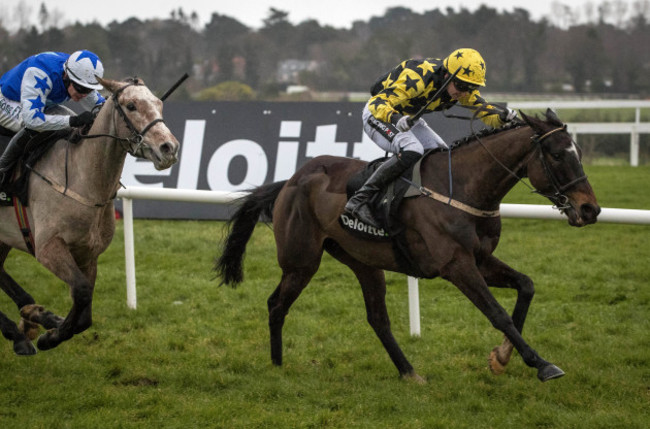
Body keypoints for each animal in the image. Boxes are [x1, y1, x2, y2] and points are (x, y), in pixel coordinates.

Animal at [0, 77, 178, 354]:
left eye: (159, 103)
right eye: (131, 105)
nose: (169, 147)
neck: (81, 179)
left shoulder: (88, 254)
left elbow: (84, 314)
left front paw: (49, 324)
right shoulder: (48, 248)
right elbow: (82, 291)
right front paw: (50, 335)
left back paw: (29, 317)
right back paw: (21, 330)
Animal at [215, 108, 600, 380]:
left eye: (579, 152)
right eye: (557, 155)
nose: (590, 209)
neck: (462, 187)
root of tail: (291, 180)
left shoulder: (480, 259)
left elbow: (526, 286)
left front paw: (501, 358)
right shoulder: (456, 265)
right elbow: (497, 313)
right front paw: (541, 364)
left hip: (363, 261)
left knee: (377, 318)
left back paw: (409, 372)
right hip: (301, 261)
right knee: (276, 304)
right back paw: (277, 366)